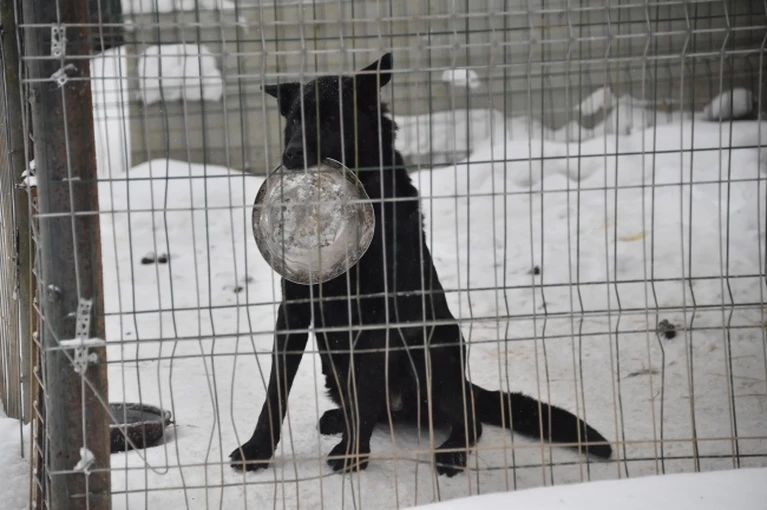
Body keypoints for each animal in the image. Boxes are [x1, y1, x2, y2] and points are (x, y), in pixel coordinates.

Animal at [230, 53, 613, 476]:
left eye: (331, 120)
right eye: (295, 119)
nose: (291, 155)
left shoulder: (377, 317)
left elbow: (364, 387)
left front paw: (353, 455)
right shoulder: (293, 311)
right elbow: (275, 391)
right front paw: (257, 449)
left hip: (437, 348)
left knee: (468, 420)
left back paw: (451, 452)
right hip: (333, 361)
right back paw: (339, 419)